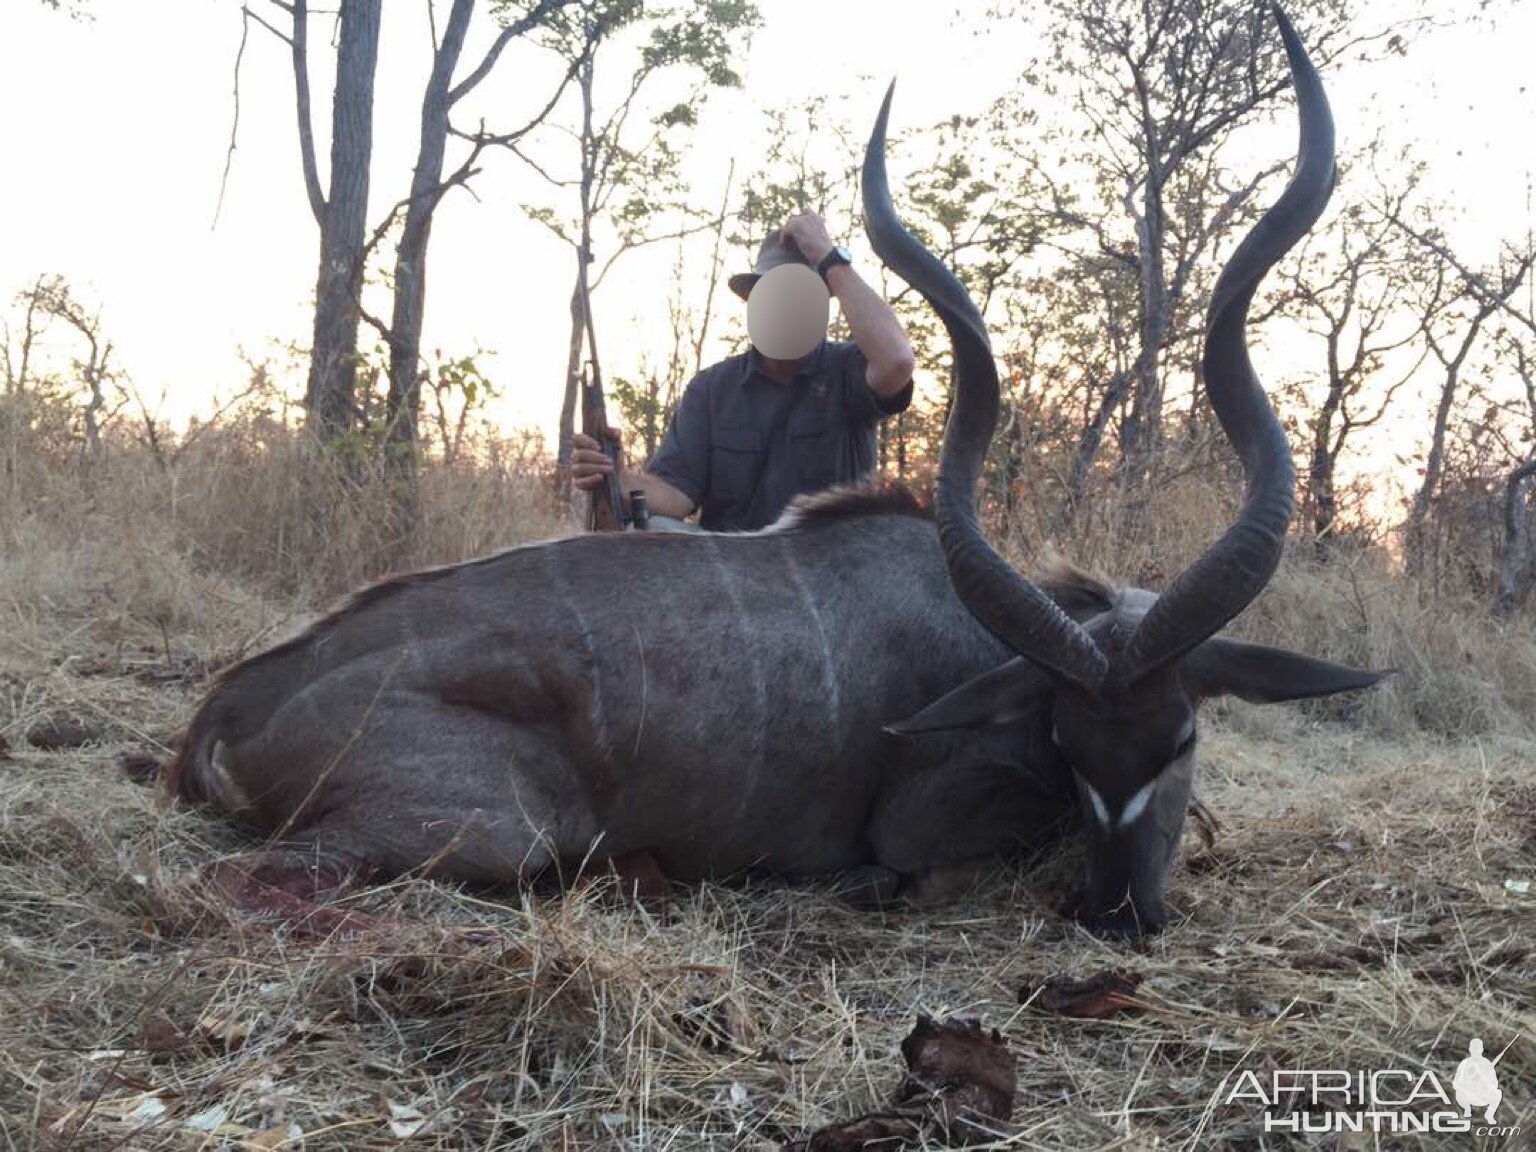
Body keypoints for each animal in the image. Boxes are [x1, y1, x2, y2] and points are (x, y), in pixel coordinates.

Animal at [168, 6, 1382, 940]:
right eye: (1066, 742)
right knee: (246, 883)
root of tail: (230, 705)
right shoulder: (925, 818)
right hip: (497, 831)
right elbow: (915, 863)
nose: (1120, 915)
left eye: (1181, 739)